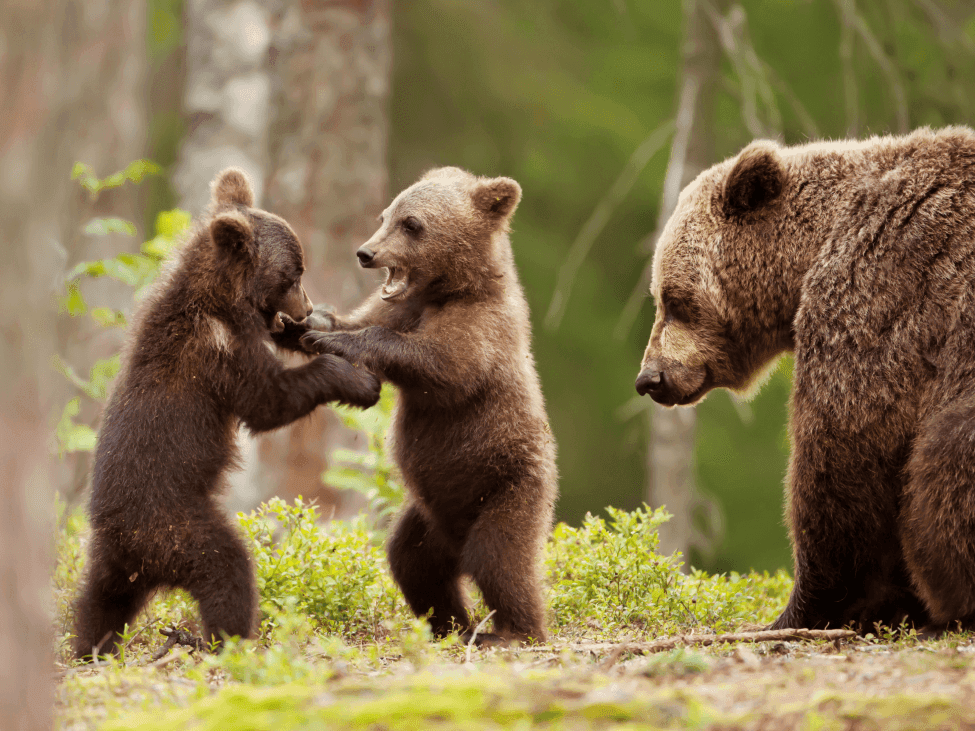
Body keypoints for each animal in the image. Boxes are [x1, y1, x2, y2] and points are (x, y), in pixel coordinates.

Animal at [636, 127, 975, 636]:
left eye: (674, 300)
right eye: (661, 296)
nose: (649, 378)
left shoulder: (881, 293)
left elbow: (843, 452)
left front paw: (802, 609)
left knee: (945, 455)